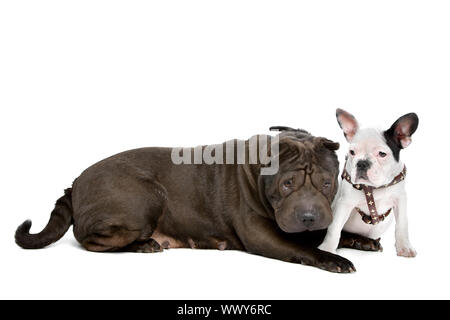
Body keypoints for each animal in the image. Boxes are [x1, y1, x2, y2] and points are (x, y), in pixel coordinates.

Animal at [15, 127, 380, 272]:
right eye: (288, 183)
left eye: (326, 182)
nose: (308, 216)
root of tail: (75, 183)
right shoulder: (263, 235)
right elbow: (302, 248)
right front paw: (334, 259)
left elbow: (332, 234)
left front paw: (359, 241)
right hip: (146, 197)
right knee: (91, 241)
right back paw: (143, 245)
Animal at [320, 109, 418, 256]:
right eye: (352, 152)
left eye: (382, 154)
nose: (362, 163)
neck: (375, 187)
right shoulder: (344, 203)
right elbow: (335, 227)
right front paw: (327, 249)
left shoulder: (400, 199)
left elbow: (402, 224)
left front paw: (404, 247)